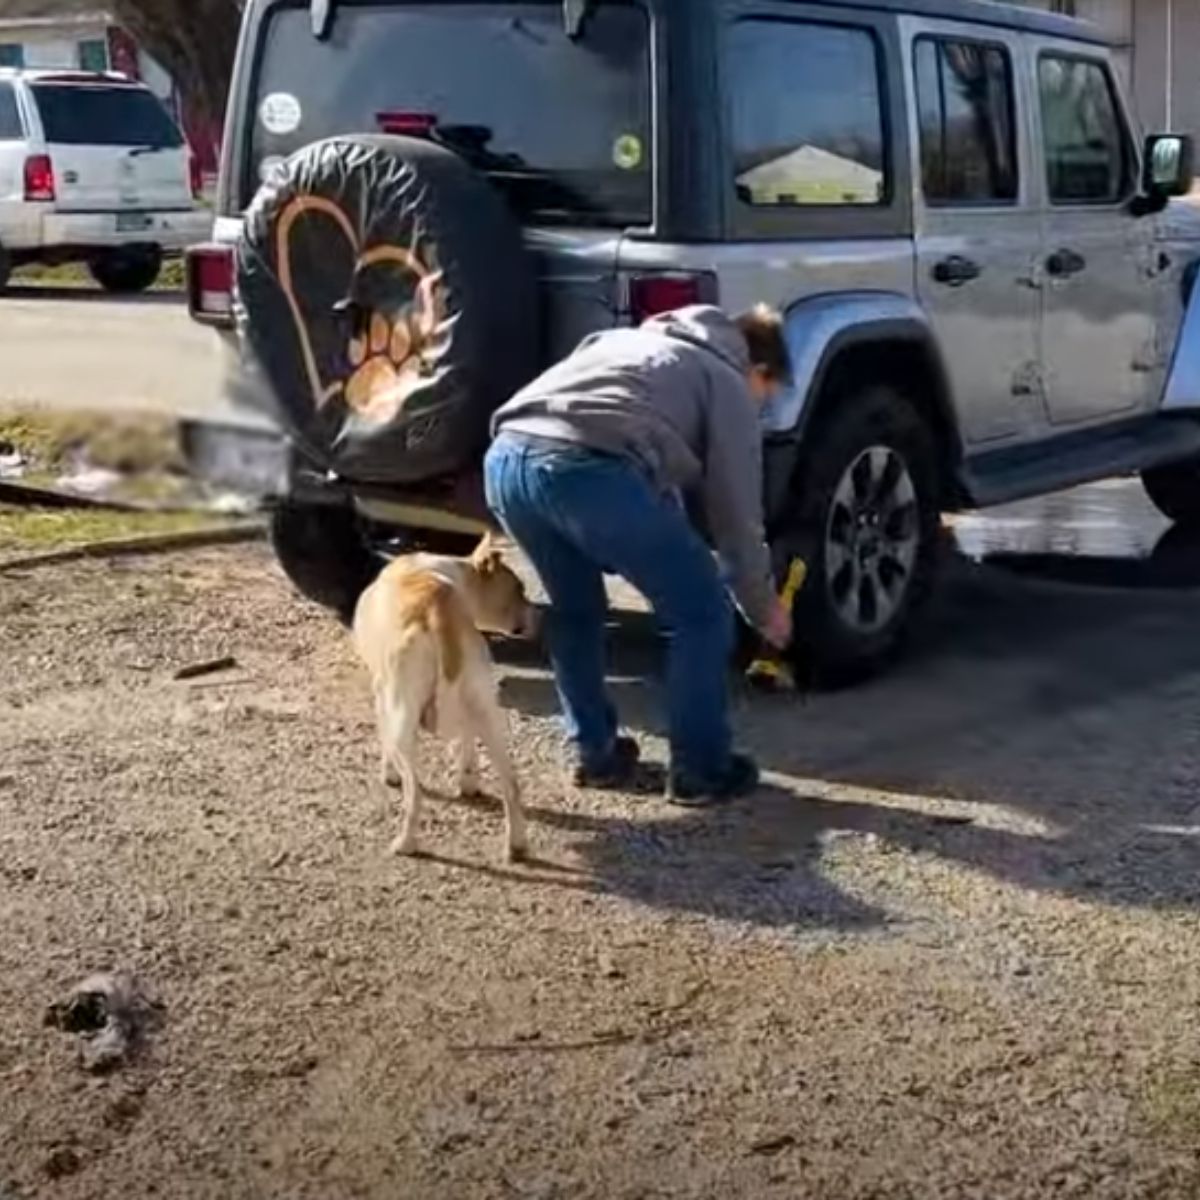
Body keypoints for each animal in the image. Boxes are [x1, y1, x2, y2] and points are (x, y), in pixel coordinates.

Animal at [350, 537, 540, 864]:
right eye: (519, 589)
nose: (540, 617)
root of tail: (437, 616)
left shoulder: (381, 696)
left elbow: (385, 744)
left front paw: (388, 774)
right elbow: (468, 745)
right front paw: (468, 780)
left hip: (403, 719)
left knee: (415, 793)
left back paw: (406, 842)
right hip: (488, 712)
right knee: (511, 784)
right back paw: (516, 844)